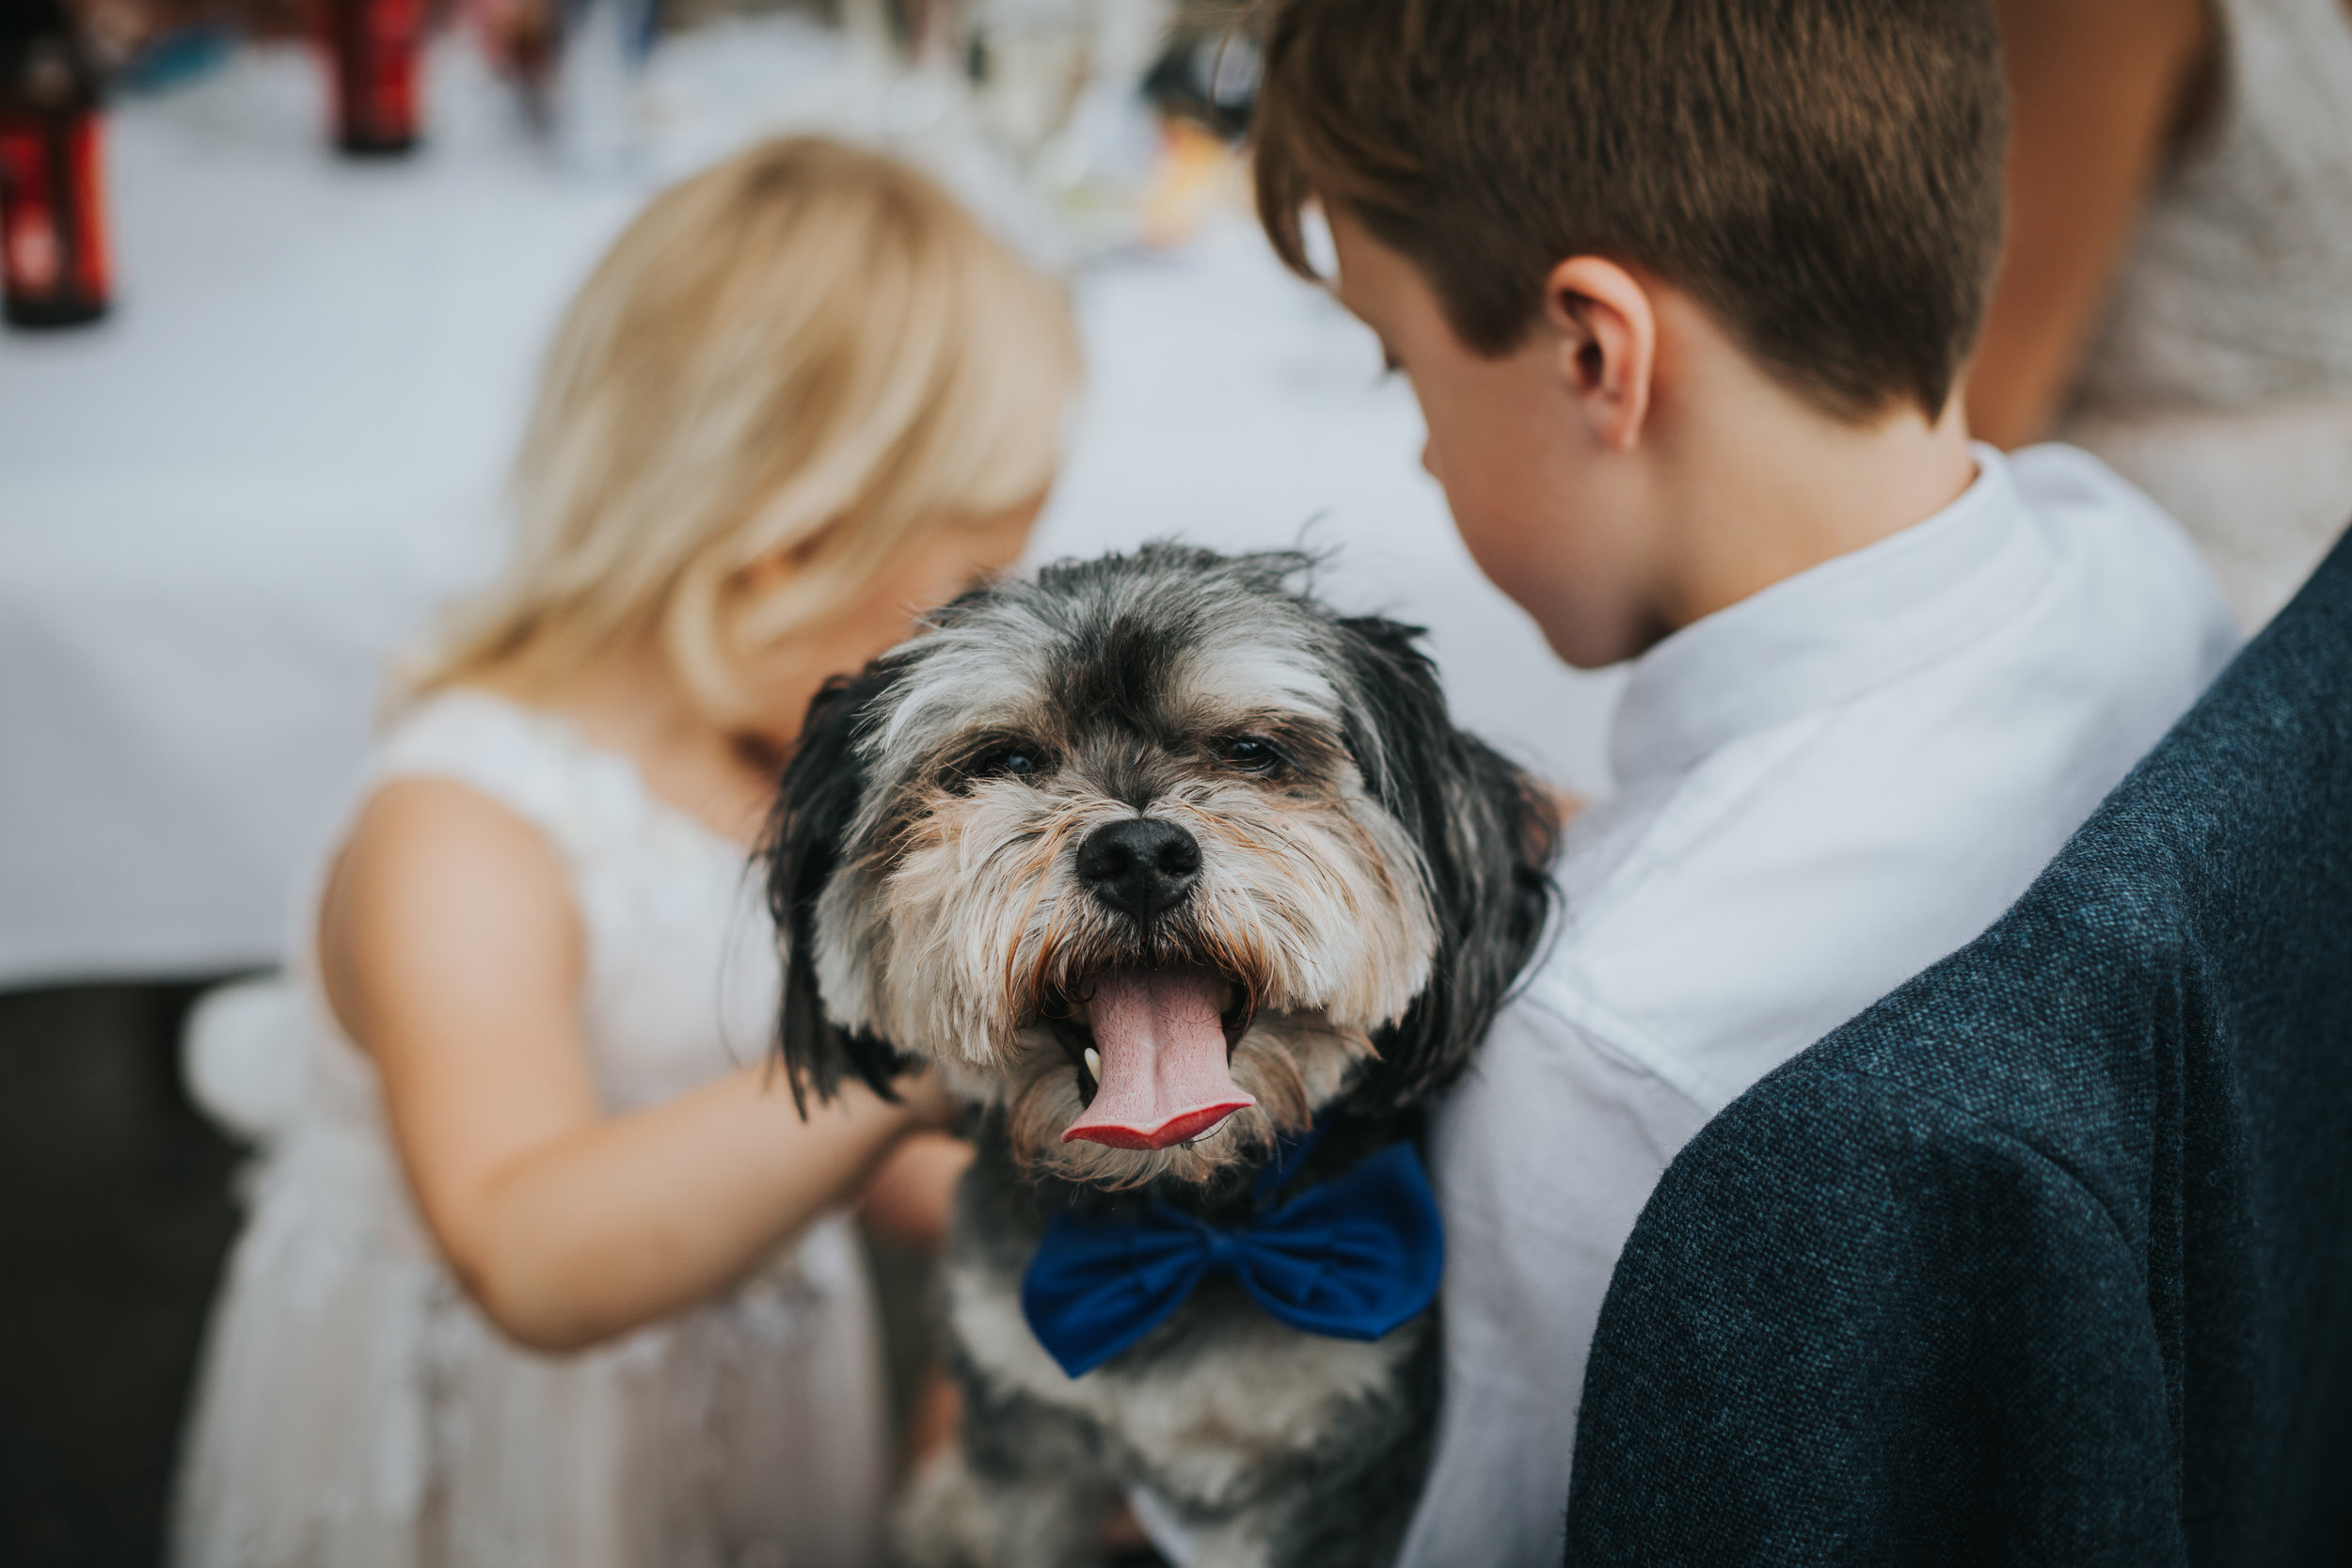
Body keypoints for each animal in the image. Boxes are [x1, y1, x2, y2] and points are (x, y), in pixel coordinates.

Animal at [762, 549, 1552, 1568]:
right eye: (1005, 760)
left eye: (1252, 752)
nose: (1138, 851)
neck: (1186, 1216)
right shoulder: (1025, 1430)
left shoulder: (1331, 1465)